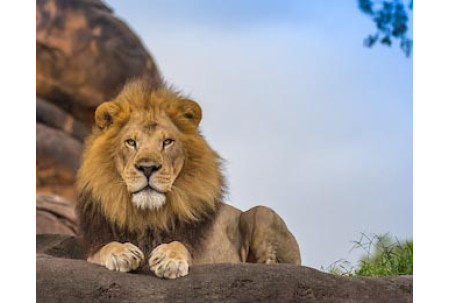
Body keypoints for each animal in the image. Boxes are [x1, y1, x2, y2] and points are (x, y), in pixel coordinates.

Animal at [76, 79, 302, 280]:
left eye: (167, 142)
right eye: (131, 142)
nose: (148, 168)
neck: (149, 215)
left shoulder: (204, 254)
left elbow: (180, 244)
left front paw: (169, 259)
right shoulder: (94, 246)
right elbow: (103, 249)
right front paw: (122, 252)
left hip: (262, 213)